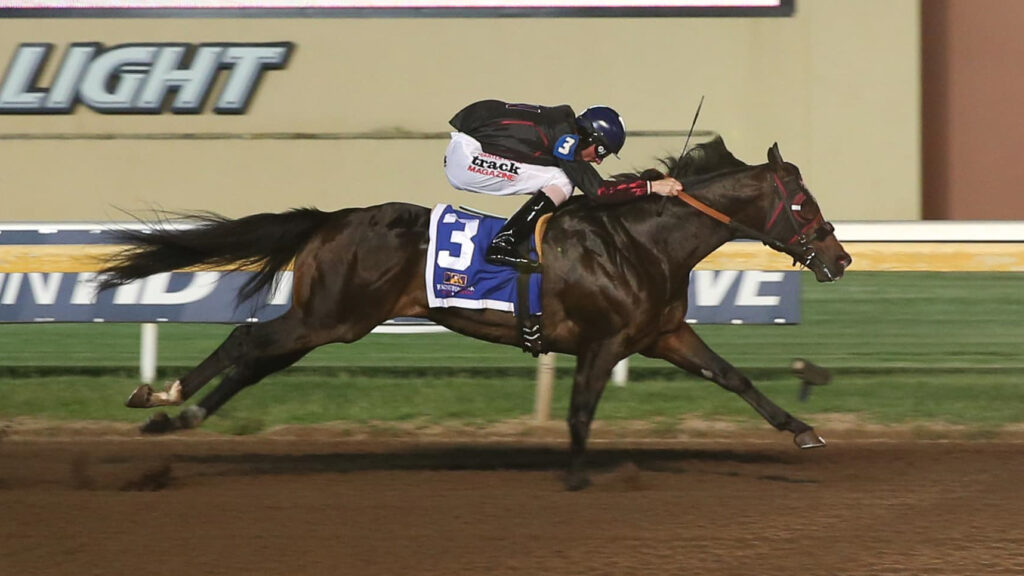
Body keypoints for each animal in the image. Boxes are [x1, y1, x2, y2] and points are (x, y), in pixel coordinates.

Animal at [97, 135, 847, 487]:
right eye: (801, 203)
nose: (838, 259)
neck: (641, 240)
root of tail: (332, 219)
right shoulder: (603, 340)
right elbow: (581, 408)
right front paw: (577, 475)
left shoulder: (662, 333)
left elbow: (735, 379)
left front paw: (803, 430)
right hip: (331, 315)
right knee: (247, 342)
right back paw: (164, 398)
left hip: (330, 320)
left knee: (255, 357)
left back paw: (174, 412)